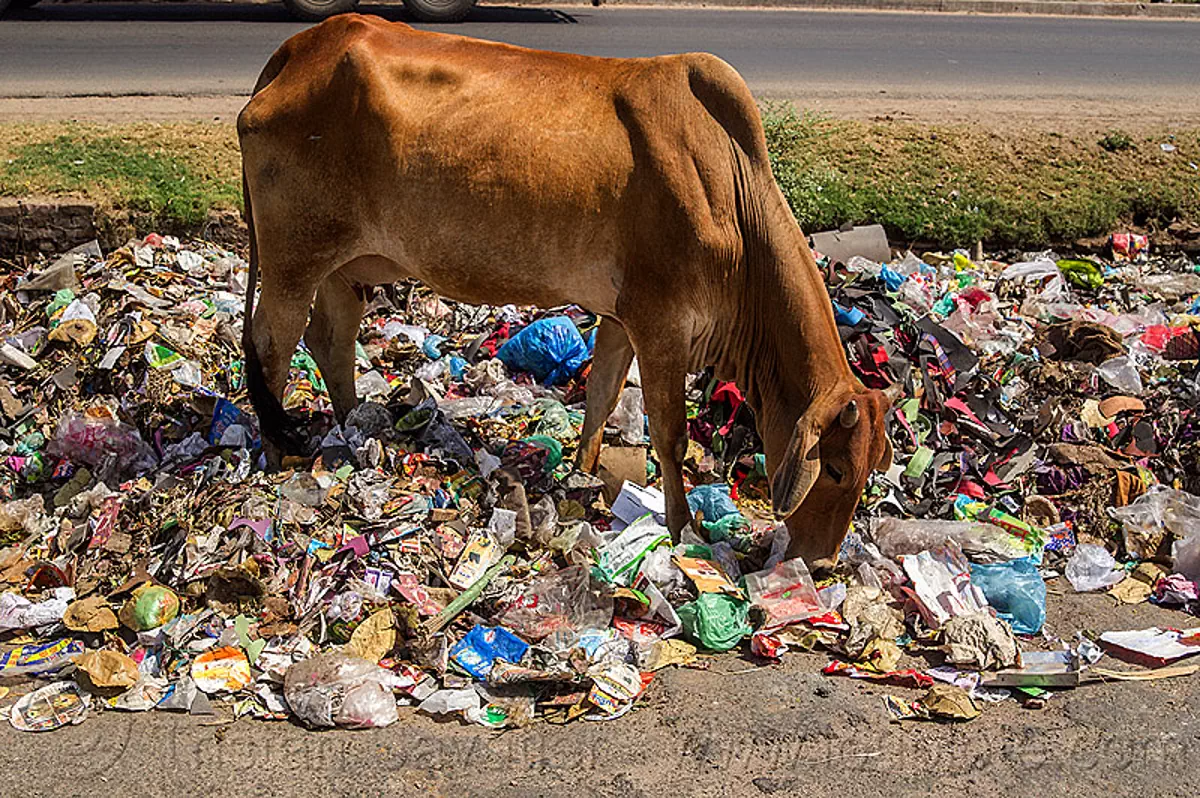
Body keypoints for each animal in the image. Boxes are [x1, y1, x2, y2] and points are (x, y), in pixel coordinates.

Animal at [236, 14, 892, 573]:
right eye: (835, 469)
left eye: (866, 476)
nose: (824, 564)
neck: (731, 192)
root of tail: (304, 45)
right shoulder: (662, 323)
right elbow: (670, 435)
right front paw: (681, 529)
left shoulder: (622, 317)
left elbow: (600, 400)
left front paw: (581, 477)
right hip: (294, 259)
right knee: (271, 345)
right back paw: (277, 449)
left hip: (345, 266)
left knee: (331, 341)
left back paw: (356, 430)